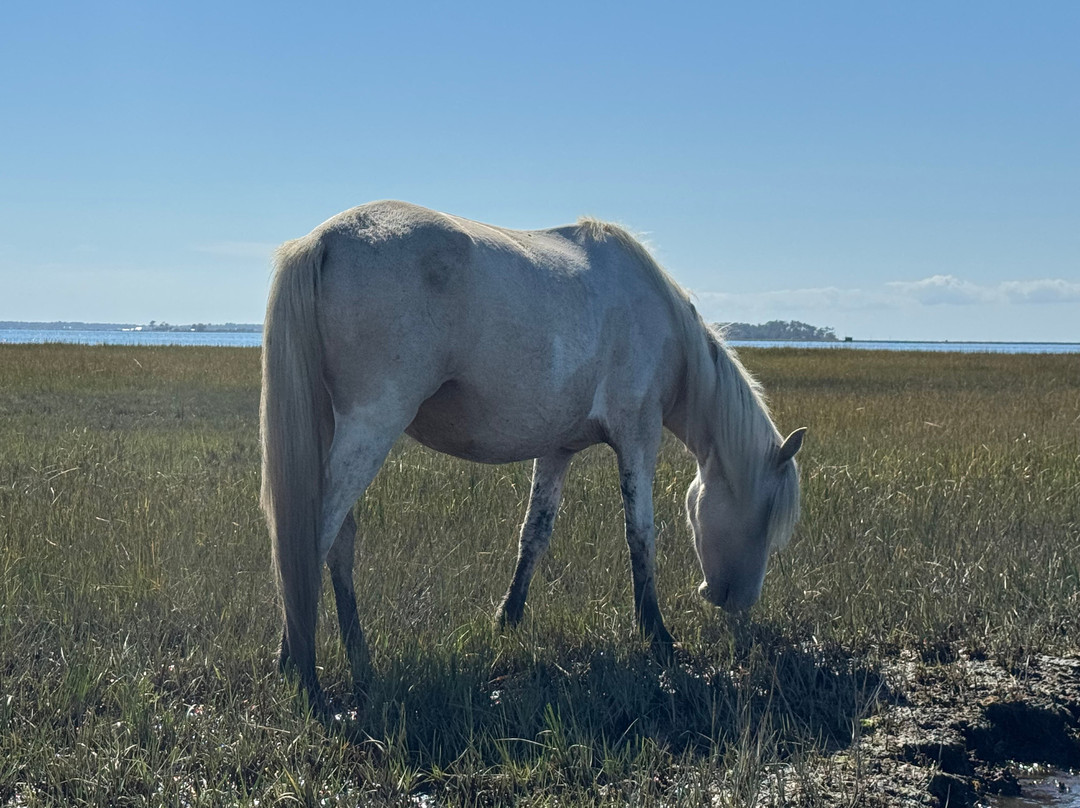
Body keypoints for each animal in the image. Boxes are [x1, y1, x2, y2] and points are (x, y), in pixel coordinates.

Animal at [260, 200, 805, 704]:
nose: (736, 601)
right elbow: (640, 533)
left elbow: (535, 534)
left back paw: (357, 659)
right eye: (765, 516)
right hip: (371, 425)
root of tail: (324, 240)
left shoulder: (557, 450)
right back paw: (300, 667)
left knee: (338, 540)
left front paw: (509, 619)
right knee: (313, 536)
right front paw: (656, 633)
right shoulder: (638, 434)